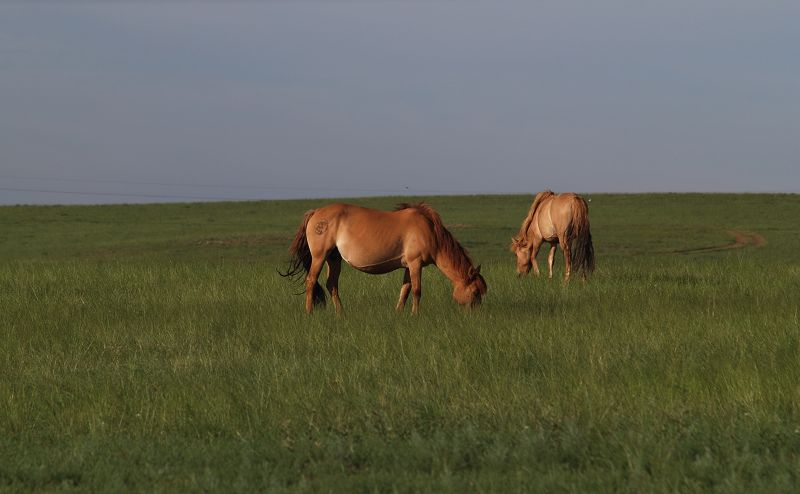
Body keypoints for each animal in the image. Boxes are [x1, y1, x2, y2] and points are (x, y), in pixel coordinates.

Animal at [282, 203, 488, 314]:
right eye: (475, 292)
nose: (474, 314)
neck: (429, 230)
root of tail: (316, 212)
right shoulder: (415, 264)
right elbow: (417, 291)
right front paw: (415, 314)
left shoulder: (408, 266)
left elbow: (405, 290)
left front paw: (399, 313)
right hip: (320, 257)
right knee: (311, 281)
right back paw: (309, 312)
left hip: (334, 259)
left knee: (332, 284)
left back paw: (341, 314)